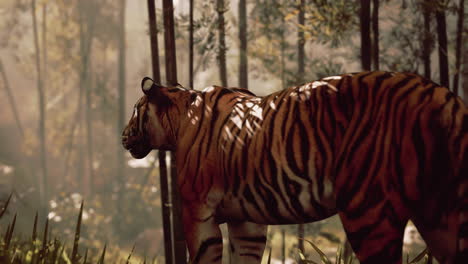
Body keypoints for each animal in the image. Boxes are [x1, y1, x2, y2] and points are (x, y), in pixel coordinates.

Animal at [121, 71, 468, 264]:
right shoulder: (246, 222)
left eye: (136, 110)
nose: (123, 136)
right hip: (442, 212)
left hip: (369, 210)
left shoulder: (197, 213)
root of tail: (439, 95)